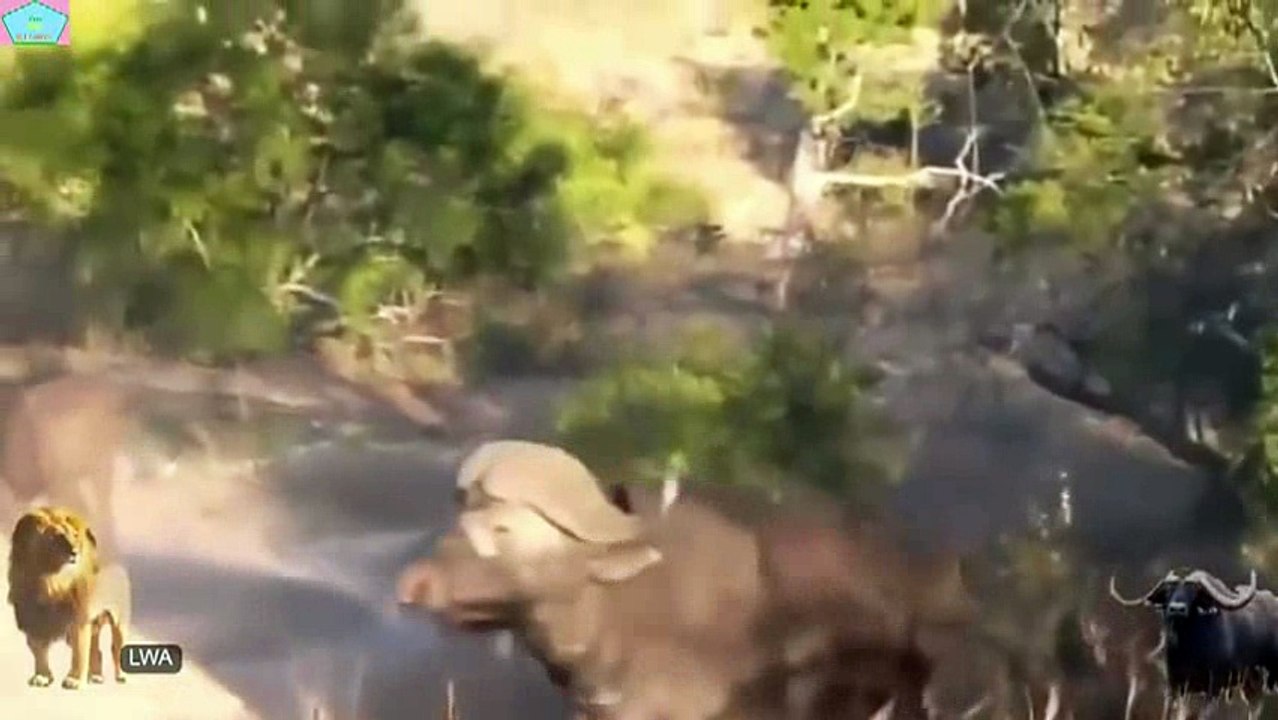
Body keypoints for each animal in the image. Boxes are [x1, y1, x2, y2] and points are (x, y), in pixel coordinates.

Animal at [7, 506, 131, 689]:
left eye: (75, 535)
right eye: (57, 536)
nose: (75, 552)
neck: (50, 581)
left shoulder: (78, 620)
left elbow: (79, 653)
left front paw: (74, 680)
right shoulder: (33, 620)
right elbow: (38, 651)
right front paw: (42, 676)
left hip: (119, 620)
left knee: (116, 648)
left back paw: (121, 676)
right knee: (97, 651)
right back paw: (96, 677)